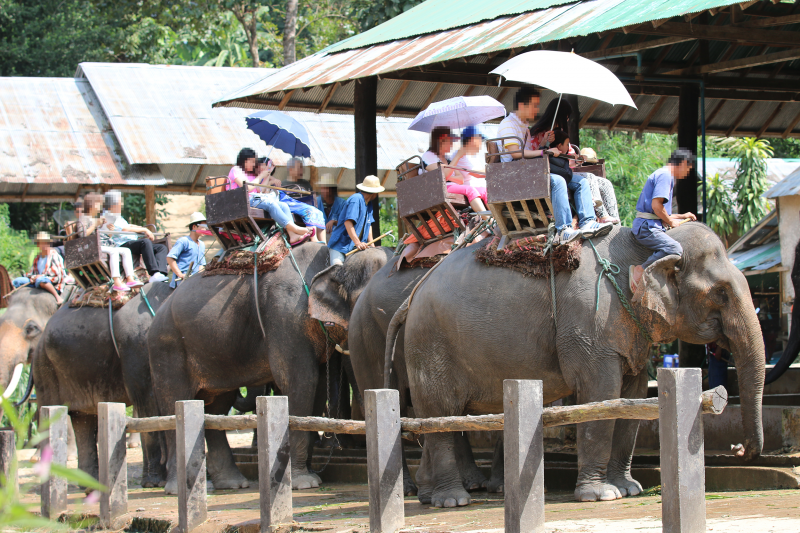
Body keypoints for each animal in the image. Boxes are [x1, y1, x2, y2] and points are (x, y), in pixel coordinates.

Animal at [34, 282, 172, 487]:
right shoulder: (136, 345)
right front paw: (154, 483)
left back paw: (90, 485)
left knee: (82, 419)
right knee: (53, 414)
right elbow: (147, 402)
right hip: (45, 368)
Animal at [148, 242, 360, 494]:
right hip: (167, 348)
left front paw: (307, 475)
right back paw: (178, 488)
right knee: (176, 402)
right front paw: (303, 482)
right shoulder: (283, 317)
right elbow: (301, 381)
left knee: (216, 408)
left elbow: (316, 392)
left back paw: (232, 483)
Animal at [387, 223, 765, 507]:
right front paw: (600, 496)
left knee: (436, 418)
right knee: (440, 415)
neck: (645, 247)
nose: (739, 449)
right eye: (721, 293)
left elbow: (633, 396)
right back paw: (453, 500)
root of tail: (412, 295)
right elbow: (602, 396)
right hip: (430, 344)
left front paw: (628, 489)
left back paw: (429, 496)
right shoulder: (591, 326)